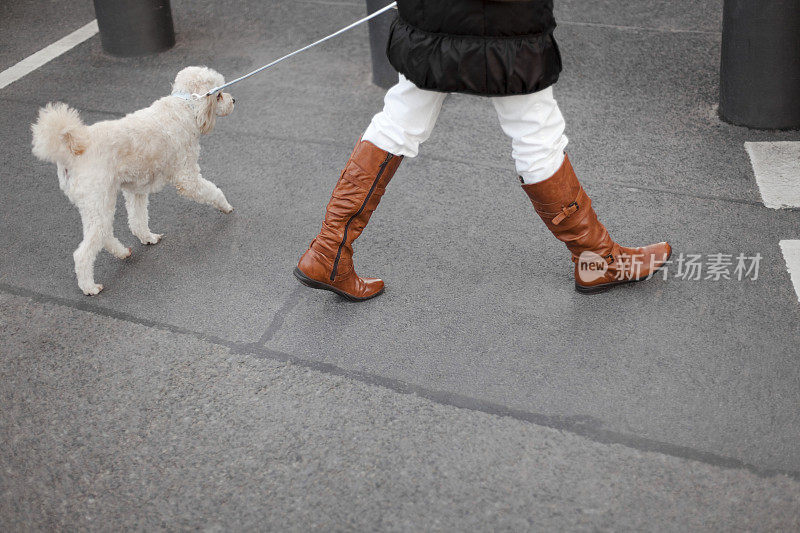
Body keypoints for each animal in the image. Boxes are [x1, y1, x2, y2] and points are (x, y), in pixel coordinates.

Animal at [32, 66, 238, 296]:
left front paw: (147, 237)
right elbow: (211, 190)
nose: (233, 100)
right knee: (84, 253)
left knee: (103, 233)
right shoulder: (187, 177)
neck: (185, 105)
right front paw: (225, 206)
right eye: (219, 94)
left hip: (93, 205)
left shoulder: (136, 189)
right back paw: (90, 287)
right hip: (98, 200)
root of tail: (73, 150)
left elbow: (137, 220)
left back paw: (122, 252)